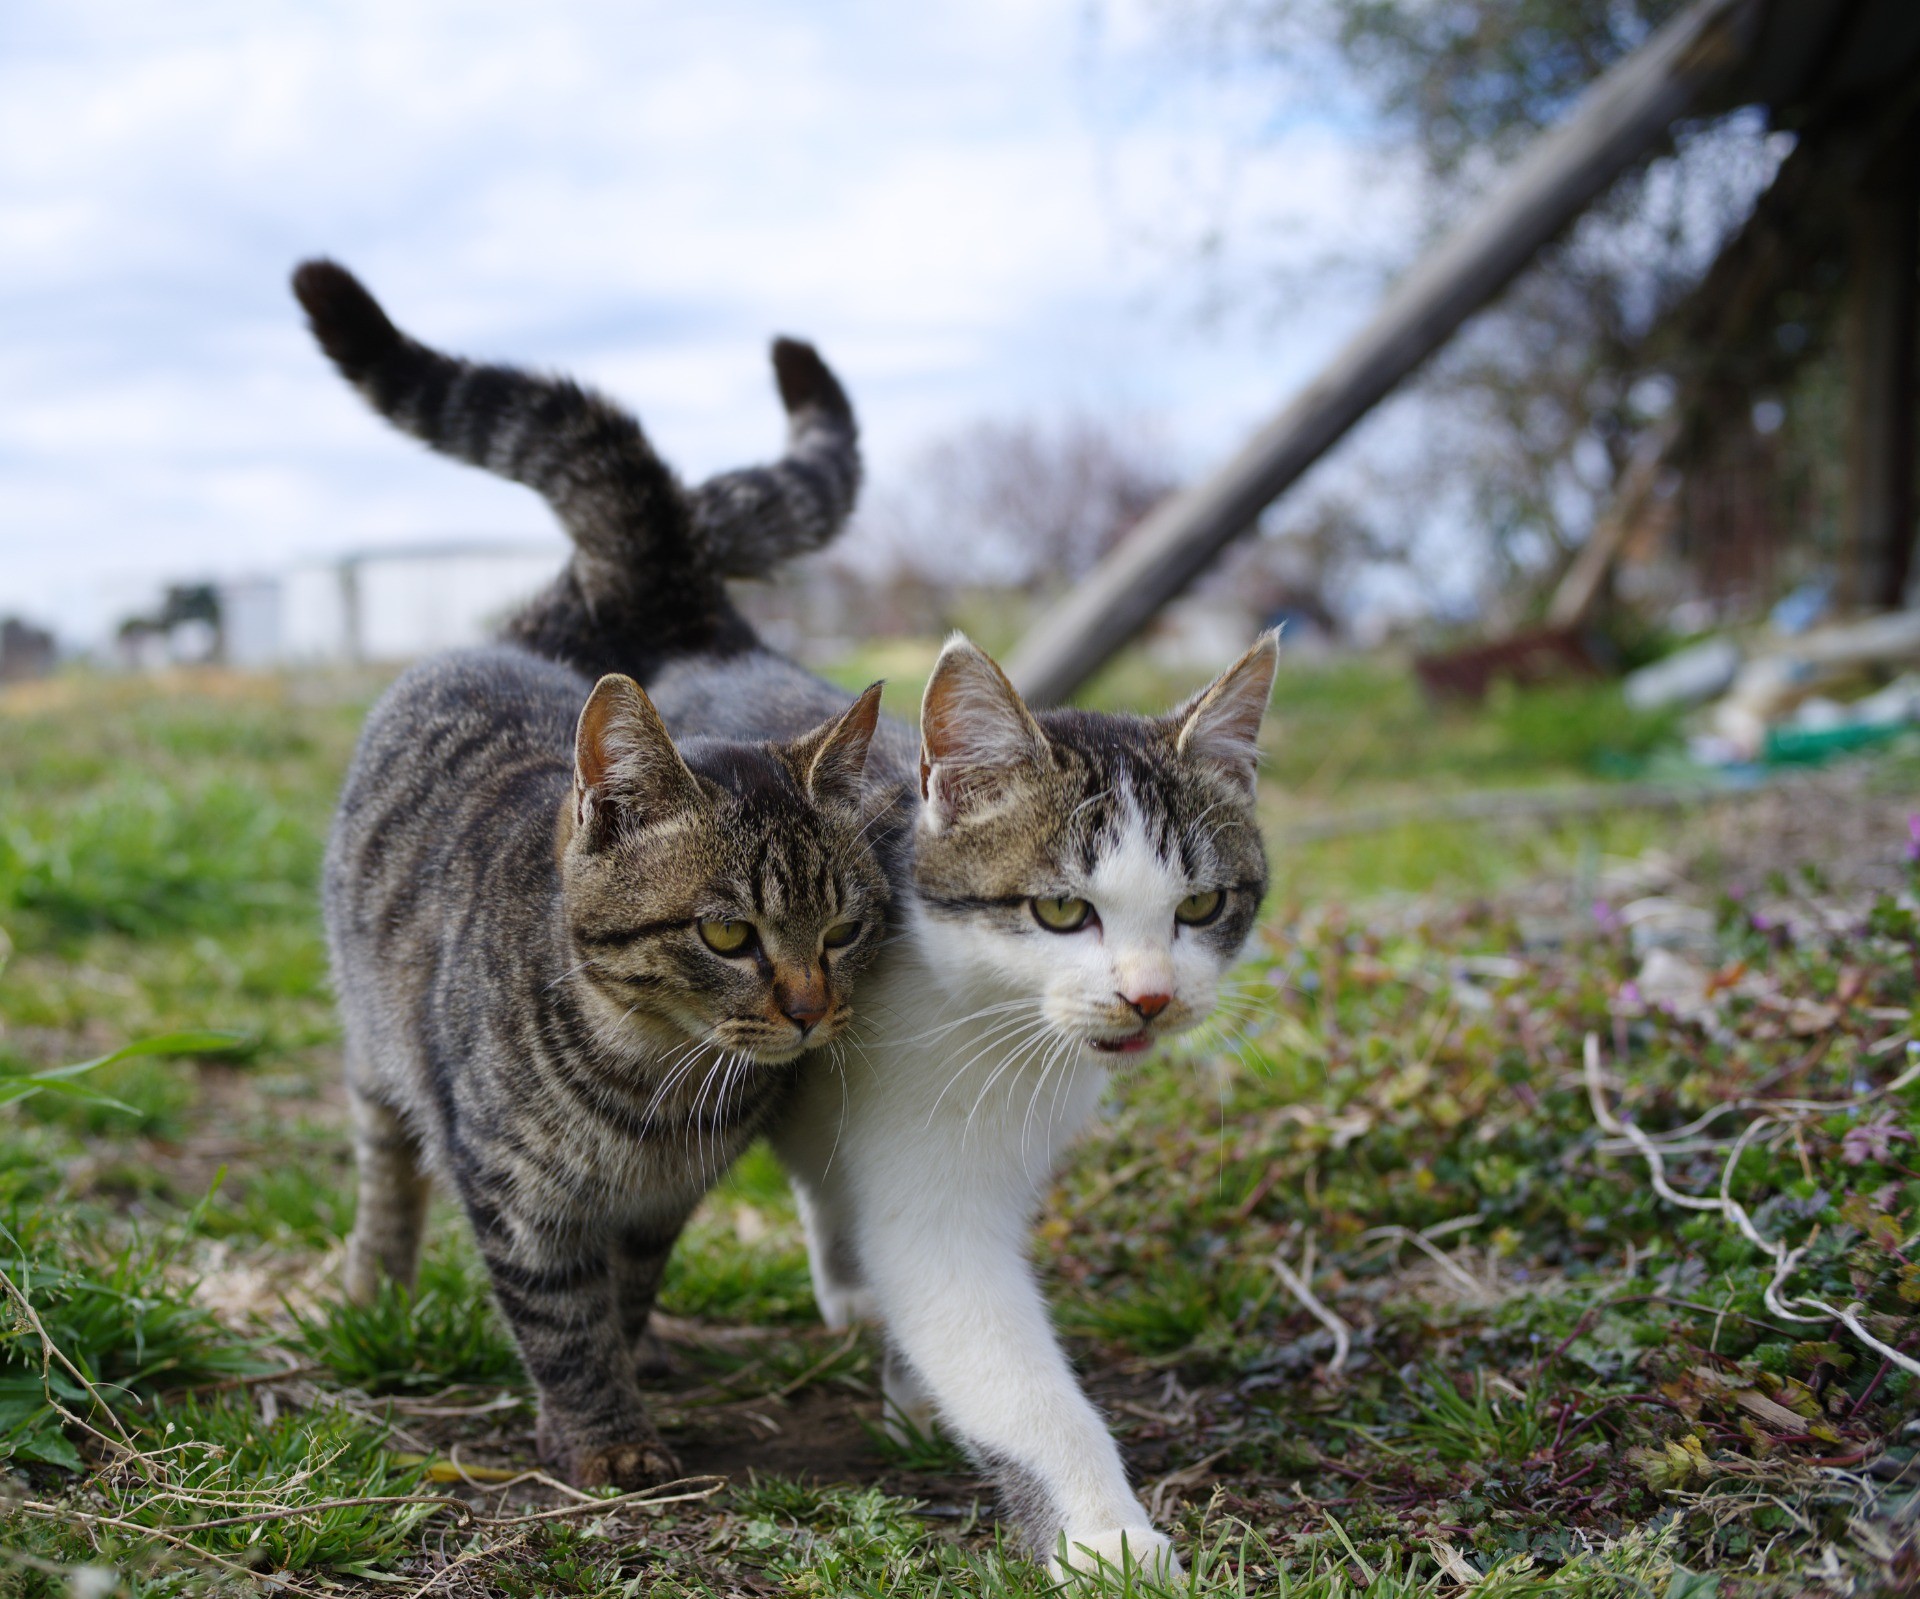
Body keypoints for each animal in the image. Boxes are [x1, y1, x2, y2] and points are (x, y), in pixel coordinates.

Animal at [295, 261, 1274, 1574]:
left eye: (1202, 905)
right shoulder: (919, 1184)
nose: (1151, 997)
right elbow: (1011, 1373)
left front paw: (915, 1397)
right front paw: (1107, 1536)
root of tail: (704, 620)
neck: (1004, 1043)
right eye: (1063, 909)